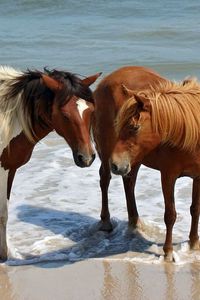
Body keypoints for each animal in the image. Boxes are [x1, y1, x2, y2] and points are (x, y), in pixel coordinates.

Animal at [111, 78, 200, 262]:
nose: (115, 165)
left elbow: (195, 209)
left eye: (135, 127)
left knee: (129, 185)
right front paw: (168, 252)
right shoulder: (168, 176)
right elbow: (170, 215)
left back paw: (134, 223)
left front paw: (194, 243)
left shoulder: (198, 177)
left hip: (133, 163)